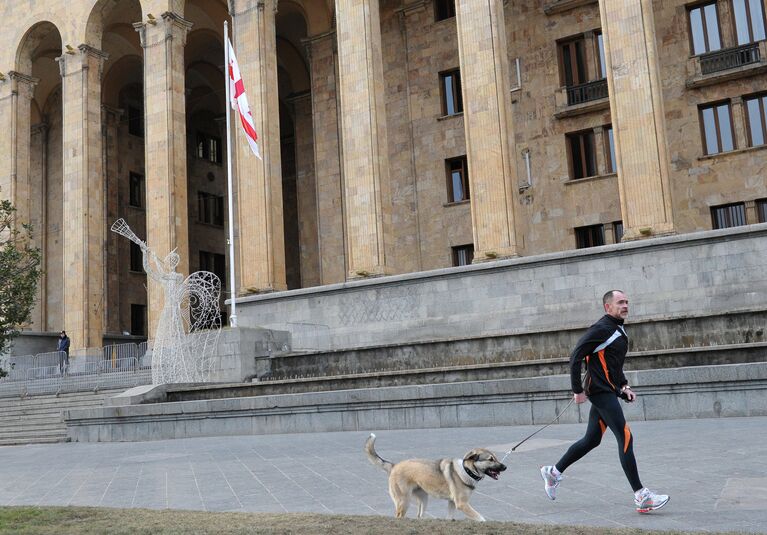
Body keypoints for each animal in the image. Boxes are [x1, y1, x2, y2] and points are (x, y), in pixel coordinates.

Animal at [364, 434, 508, 520]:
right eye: (490, 459)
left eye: (496, 458)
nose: (505, 467)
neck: (467, 471)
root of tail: (394, 466)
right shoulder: (462, 504)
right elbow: (481, 518)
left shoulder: (452, 503)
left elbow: (450, 518)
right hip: (403, 501)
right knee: (399, 516)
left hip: (423, 499)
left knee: (419, 516)